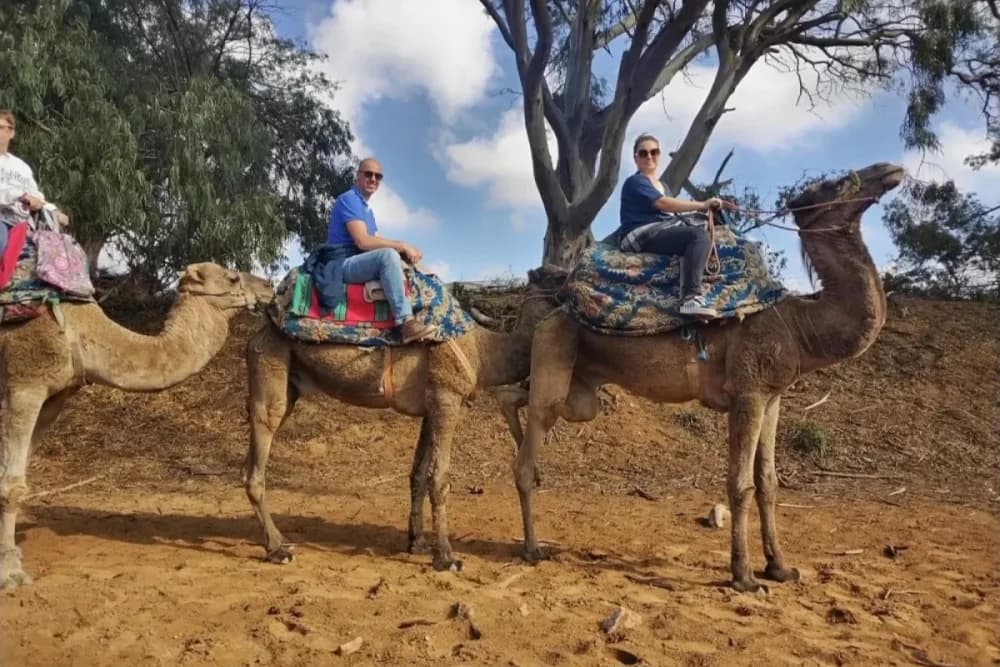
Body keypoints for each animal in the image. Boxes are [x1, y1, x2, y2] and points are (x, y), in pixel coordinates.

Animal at [0, 263, 273, 589]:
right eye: (232, 277)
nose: (269, 287)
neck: (81, 335)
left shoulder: (56, 397)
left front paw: (11, 554)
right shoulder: (25, 385)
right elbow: (12, 483)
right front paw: (10, 572)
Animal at [242, 265, 566, 571]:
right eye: (559, 277)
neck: (483, 352)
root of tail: (258, 333)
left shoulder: (429, 408)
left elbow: (419, 475)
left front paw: (417, 543)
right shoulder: (446, 398)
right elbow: (440, 478)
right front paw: (446, 557)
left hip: (288, 385)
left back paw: (280, 541)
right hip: (270, 365)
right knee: (260, 448)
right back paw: (277, 550)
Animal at [512, 162, 904, 592]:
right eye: (835, 183)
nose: (889, 170)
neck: (798, 325)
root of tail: (555, 302)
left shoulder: (772, 397)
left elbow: (768, 481)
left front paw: (780, 568)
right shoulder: (747, 392)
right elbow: (741, 484)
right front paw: (744, 576)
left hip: (581, 391)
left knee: (524, 398)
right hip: (554, 346)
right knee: (529, 446)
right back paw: (532, 547)